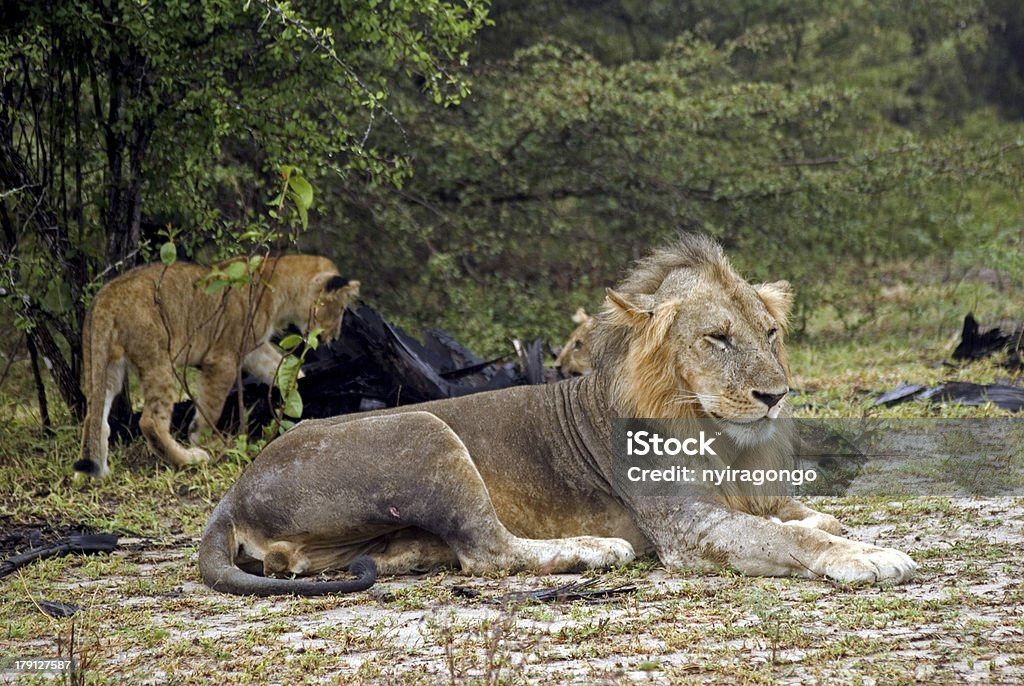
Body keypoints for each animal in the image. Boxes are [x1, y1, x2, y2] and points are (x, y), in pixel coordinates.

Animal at [75, 254, 358, 481]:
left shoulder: (253, 350)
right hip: (159, 360)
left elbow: (282, 370)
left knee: (94, 417)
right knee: (150, 421)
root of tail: (106, 298)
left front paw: (299, 394)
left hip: (104, 364)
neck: (278, 284)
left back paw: (93, 473)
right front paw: (205, 439)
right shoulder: (223, 357)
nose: (334, 337)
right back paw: (190, 458)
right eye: (340, 309)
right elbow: (212, 405)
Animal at [197, 236, 913, 597]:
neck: (715, 433)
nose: (776, 396)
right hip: (425, 430)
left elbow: (797, 515)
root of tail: (234, 492)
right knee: (489, 552)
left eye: (770, 334)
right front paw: (868, 555)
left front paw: (823, 520)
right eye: (717, 338)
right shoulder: (685, 527)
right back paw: (593, 550)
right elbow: (785, 537)